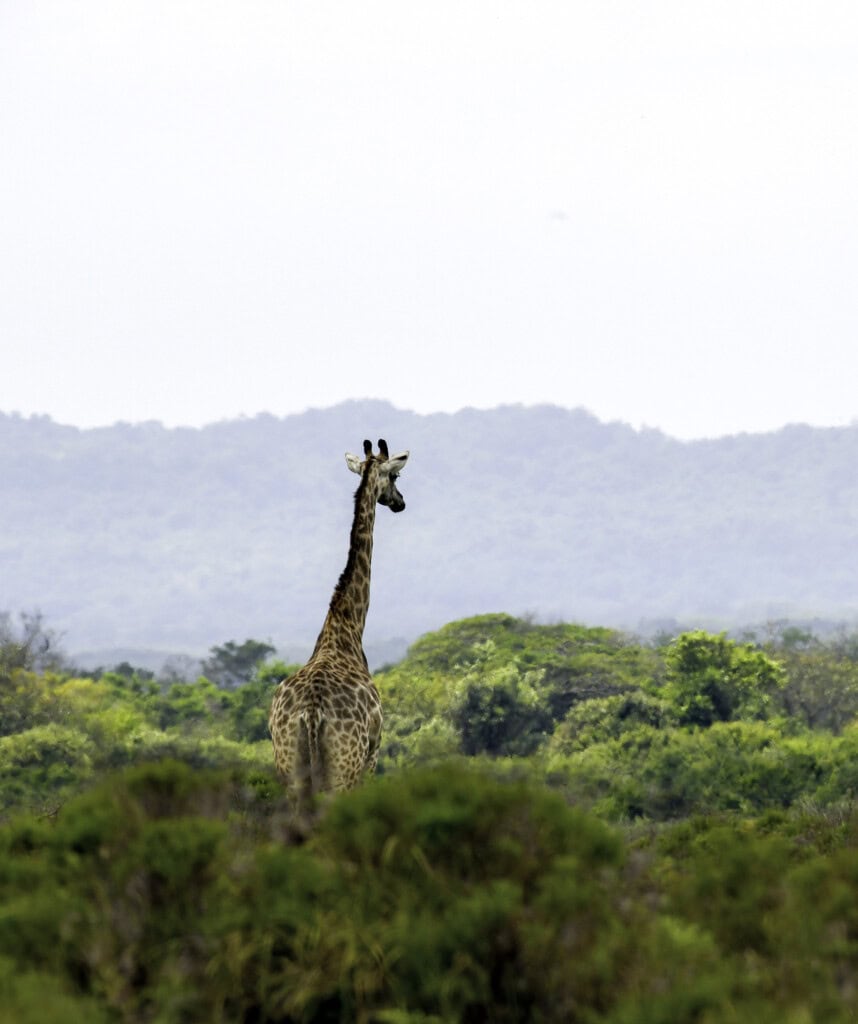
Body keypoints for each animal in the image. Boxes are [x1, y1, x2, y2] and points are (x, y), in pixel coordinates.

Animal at [269, 438, 409, 813]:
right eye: (395, 476)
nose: (400, 502)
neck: (346, 625)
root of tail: (311, 712)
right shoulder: (373, 753)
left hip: (288, 768)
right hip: (344, 767)